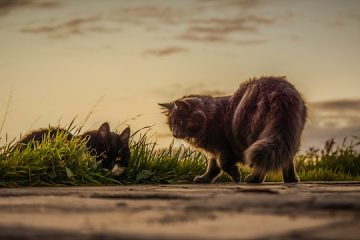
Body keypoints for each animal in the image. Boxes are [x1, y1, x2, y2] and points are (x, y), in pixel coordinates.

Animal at [160, 77, 306, 184]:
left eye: (180, 122)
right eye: (170, 125)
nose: (174, 133)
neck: (210, 117)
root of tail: (279, 91)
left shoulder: (223, 147)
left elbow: (222, 164)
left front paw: (237, 176)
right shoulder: (214, 150)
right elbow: (213, 167)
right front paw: (204, 179)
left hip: (253, 136)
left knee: (263, 162)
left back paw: (253, 179)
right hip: (286, 134)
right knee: (286, 158)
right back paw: (291, 180)